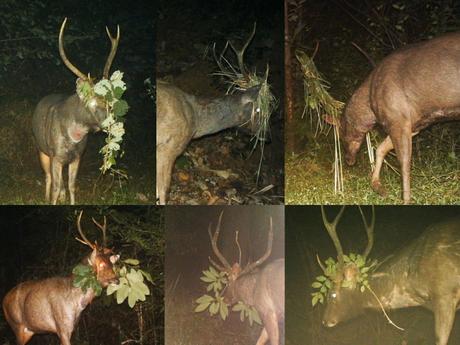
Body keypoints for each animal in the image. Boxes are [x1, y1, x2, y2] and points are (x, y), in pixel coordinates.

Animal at [1, 210, 119, 344]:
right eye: (101, 264)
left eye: (112, 263)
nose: (117, 280)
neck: (77, 304)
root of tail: (3, 301)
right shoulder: (62, 327)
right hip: (17, 325)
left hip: (28, 331)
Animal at [32, 17, 120, 203]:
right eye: (91, 103)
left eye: (109, 103)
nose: (111, 124)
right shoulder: (55, 155)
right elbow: (56, 186)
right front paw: (52, 200)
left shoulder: (78, 156)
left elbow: (72, 185)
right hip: (40, 147)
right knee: (49, 177)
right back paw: (46, 197)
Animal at [208, 210, 284, 344]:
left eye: (228, 281)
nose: (225, 299)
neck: (253, 293)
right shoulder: (276, 316)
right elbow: (260, 340)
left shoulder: (268, 311)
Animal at [326, 33, 460, 202]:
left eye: (341, 135)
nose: (348, 160)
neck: (370, 110)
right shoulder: (413, 125)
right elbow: (380, 149)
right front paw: (378, 186)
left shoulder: (398, 120)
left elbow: (404, 161)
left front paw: (406, 199)